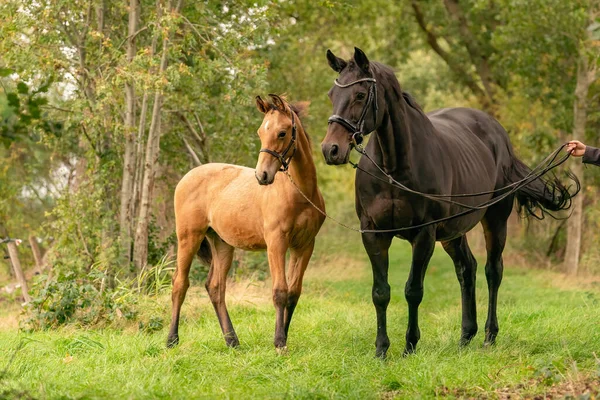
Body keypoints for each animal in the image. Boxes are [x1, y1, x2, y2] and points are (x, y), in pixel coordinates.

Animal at [166, 94, 326, 350]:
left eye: (282, 132)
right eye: (260, 131)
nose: (262, 176)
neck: (299, 192)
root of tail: (186, 177)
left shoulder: (304, 245)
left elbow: (293, 293)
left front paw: (284, 336)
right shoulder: (276, 242)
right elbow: (279, 291)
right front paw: (279, 342)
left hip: (221, 243)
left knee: (215, 287)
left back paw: (232, 340)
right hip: (189, 237)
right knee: (180, 283)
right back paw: (172, 339)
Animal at [322, 48, 580, 358]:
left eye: (360, 95)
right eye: (331, 94)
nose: (330, 149)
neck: (394, 168)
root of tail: (498, 135)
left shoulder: (424, 234)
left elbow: (413, 290)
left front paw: (410, 346)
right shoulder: (373, 233)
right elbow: (380, 292)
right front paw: (381, 350)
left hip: (494, 220)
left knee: (493, 271)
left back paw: (489, 336)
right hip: (453, 232)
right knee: (466, 269)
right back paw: (466, 336)